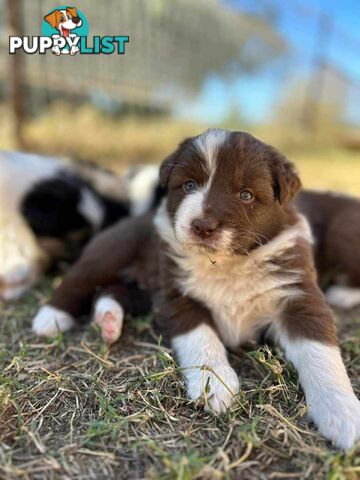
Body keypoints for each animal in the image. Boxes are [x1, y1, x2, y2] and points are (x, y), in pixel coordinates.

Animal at [32, 128, 360, 450]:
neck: (228, 264)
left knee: (110, 290)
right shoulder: (177, 295)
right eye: (189, 185)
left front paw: (342, 412)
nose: (203, 226)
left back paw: (109, 321)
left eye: (246, 195)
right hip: (115, 247)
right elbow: (202, 338)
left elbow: (319, 352)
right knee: (81, 278)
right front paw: (215, 384)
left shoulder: (298, 294)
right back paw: (51, 318)